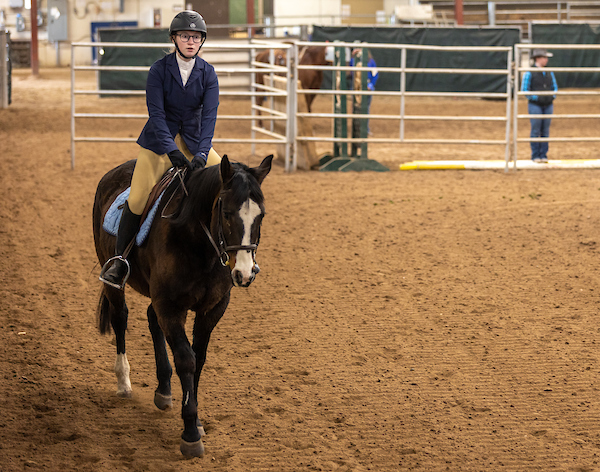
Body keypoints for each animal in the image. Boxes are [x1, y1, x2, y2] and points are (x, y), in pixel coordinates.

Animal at [92, 155, 274, 458]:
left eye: (261, 216)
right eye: (226, 214)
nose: (245, 273)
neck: (199, 244)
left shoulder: (212, 308)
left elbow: (199, 358)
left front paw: (196, 421)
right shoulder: (170, 305)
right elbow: (186, 359)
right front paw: (190, 433)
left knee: (151, 318)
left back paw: (164, 389)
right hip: (114, 281)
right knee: (120, 318)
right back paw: (124, 383)